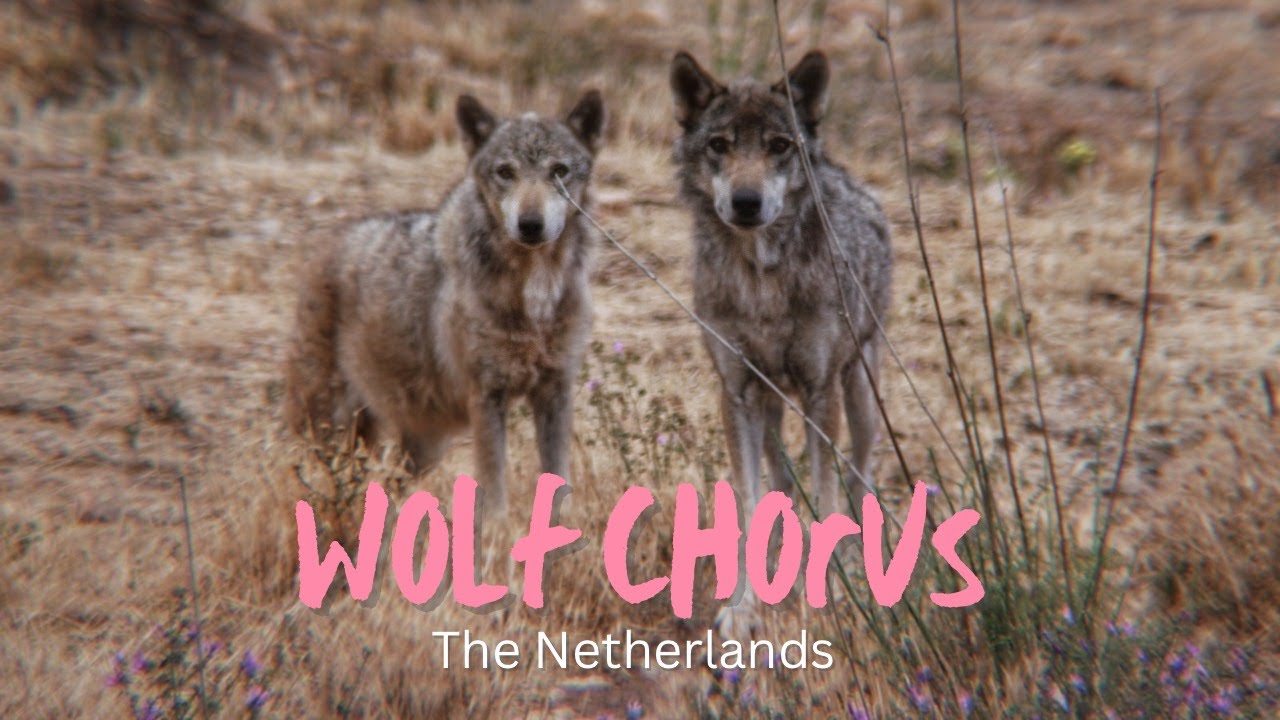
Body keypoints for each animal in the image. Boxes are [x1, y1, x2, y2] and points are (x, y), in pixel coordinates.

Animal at [283, 90, 606, 513]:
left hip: (423, 447)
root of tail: (324, 244)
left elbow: (558, 481)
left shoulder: (556, 391)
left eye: (560, 171)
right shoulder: (486, 395)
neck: (536, 289)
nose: (530, 225)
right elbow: (494, 489)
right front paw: (499, 530)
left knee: (388, 482)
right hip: (331, 426)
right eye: (506, 172)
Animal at [669, 49, 892, 523]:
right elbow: (749, 500)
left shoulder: (820, 390)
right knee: (782, 479)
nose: (746, 202)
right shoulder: (737, 392)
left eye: (779, 145)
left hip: (860, 389)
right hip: (771, 404)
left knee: (860, 475)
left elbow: (826, 496)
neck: (761, 281)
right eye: (719, 145)